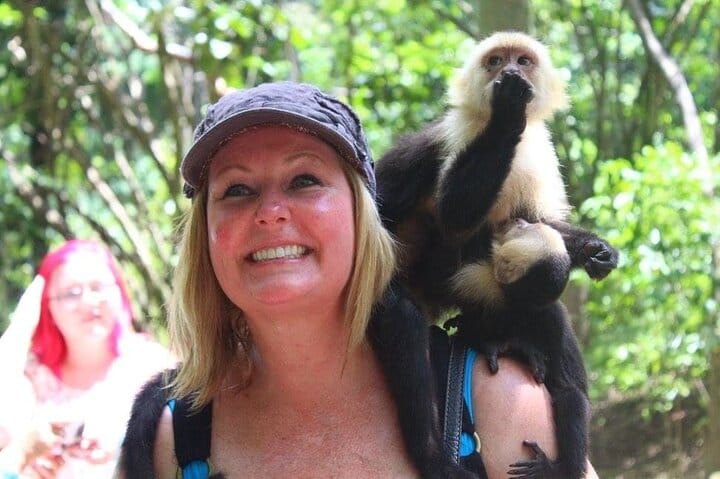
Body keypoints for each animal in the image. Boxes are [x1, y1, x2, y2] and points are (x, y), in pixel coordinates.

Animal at [369, 31, 618, 479]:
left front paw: (596, 250)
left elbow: (538, 221)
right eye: (496, 61)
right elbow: (453, 215)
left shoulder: (538, 151)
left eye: (523, 60)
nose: (512, 72)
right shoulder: (455, 134)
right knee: (404, 308)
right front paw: (507, 115)